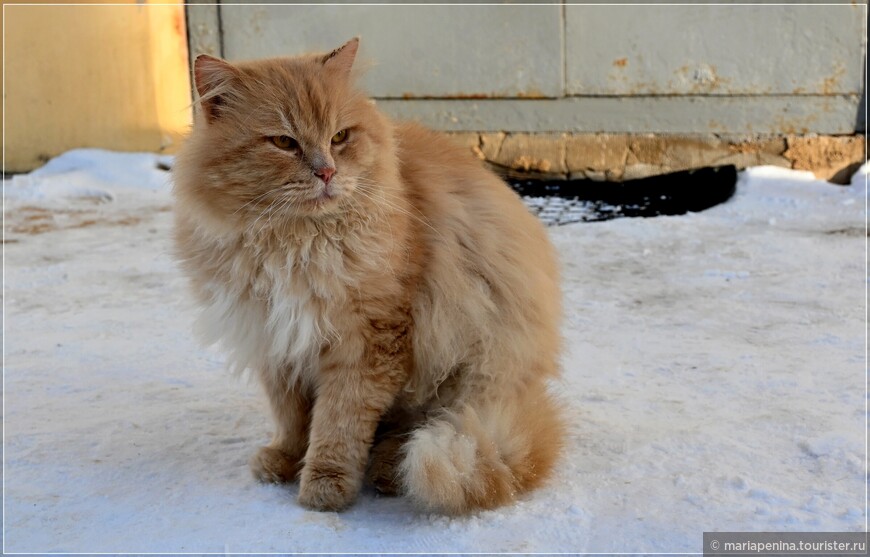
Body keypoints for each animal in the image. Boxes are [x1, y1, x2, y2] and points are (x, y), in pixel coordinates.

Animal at [173, 39, 564, 516]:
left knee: (415, 431)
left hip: (465, 373)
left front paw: (324, 486)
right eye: (284, 142)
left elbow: (336, 426)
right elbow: (292, 419)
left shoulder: (366, 344)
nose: (326, 172)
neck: (293, 244)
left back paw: (388, 470)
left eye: (340, 138)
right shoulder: (275, 339)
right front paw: (285, 459)